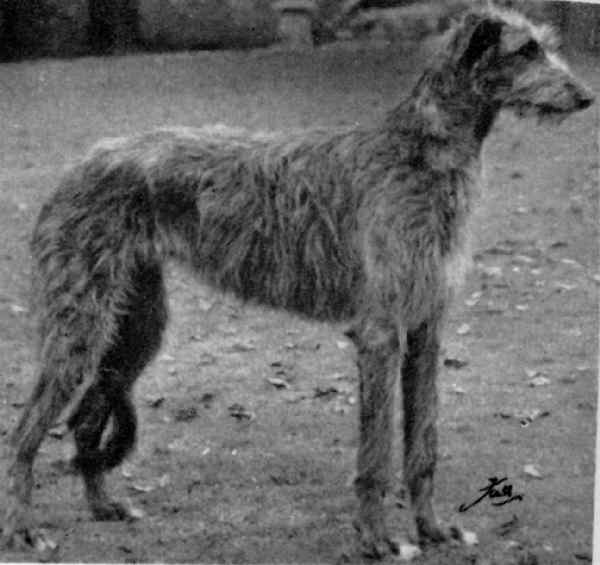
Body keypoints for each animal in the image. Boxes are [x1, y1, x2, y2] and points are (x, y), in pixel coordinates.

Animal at [1, 5, 596, 560]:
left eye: (547, 45)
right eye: (525, 51)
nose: (586, 97)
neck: (422, 151)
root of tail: (78, 163)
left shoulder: (426, 329)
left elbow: (423, 446)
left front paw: (430, 530)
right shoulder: (381, 334)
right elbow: (376, 455)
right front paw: (376, 539)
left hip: (136, 325)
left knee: (83, 423)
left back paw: (103, 506)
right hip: (79, 327)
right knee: (24, 433)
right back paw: (22, 529)